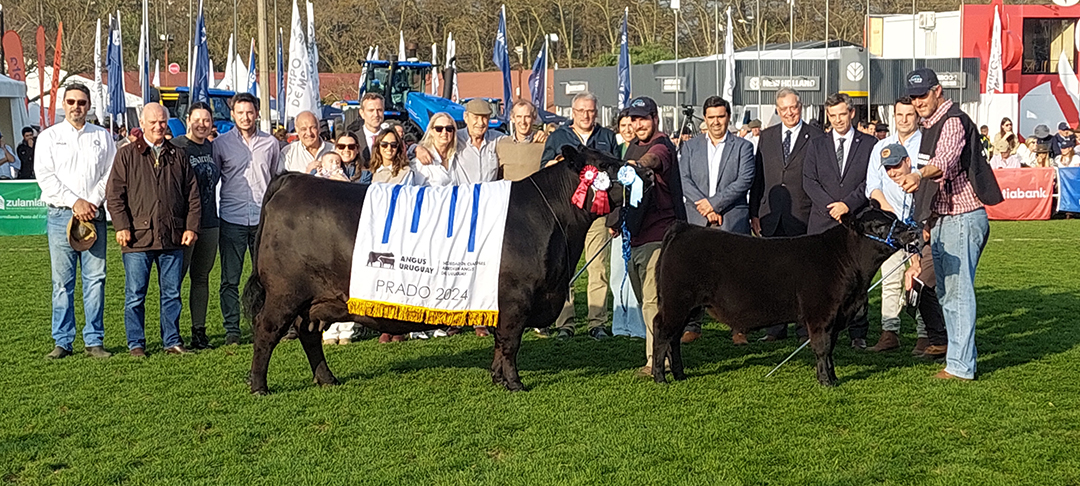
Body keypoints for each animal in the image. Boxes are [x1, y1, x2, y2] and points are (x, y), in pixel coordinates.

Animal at [243, 144, 639, 395]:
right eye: (606, 166)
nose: (642, 171)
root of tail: (292, 179)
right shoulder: (516, 298)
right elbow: (510, 344)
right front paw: (514, 383)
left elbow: (500, 345)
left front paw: (498, 379)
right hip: (284, 293)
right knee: (266, 332)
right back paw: (259, 386)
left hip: (314, 300)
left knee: (308, 335)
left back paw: (326, 379)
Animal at [652, 200, 915, 386]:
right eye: (879, 225)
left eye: (894, 217)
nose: (911, 232)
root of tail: (684, 228)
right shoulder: (821, 314)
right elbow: (821, 347)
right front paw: (826, 381)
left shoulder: (837, 315)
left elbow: (829, 348)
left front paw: (833, 377)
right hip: (677, 302)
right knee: (662, 331)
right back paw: (660, 377)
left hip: (688, 306)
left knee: (673, 338)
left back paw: (680, 374)